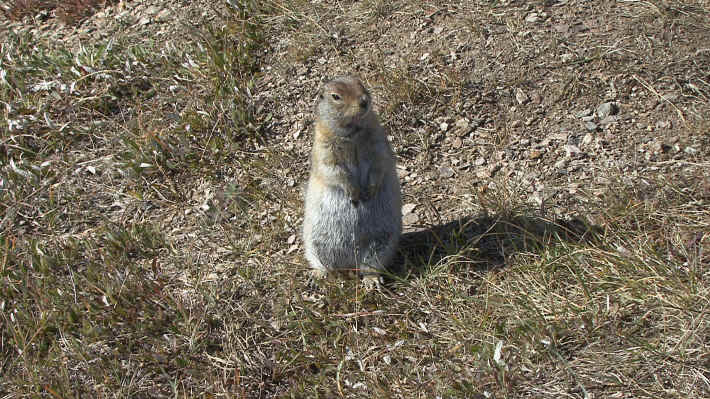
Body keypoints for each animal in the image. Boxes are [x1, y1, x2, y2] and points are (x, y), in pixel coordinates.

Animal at [304, 76, 404, 288]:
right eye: (336, 96)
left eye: (360, 83)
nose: (364, 101)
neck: (353, 132)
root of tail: (350, 263)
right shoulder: (323, 145)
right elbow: (333, 169)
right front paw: (354, 192)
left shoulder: (378, 139)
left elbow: (379, 162)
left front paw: (369, 191)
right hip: (315, 243)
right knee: (325, 265)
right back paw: (318, 275)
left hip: (382, 243)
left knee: (370, 266)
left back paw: (371, 281)